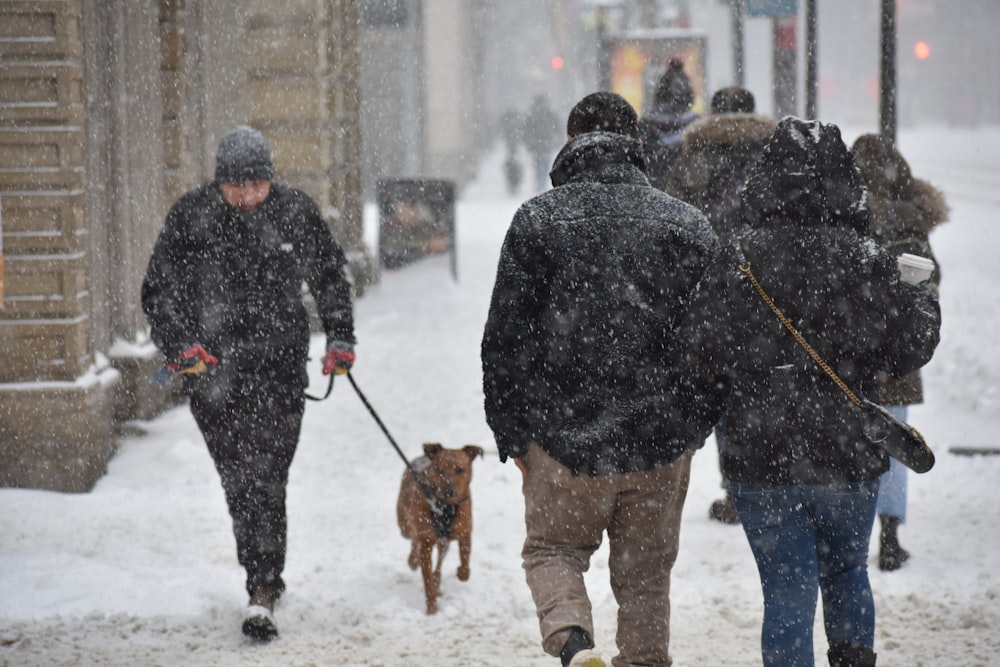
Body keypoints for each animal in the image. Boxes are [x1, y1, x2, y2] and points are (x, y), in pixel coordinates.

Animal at [396, 444, 482, 616]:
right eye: (439, 470)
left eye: (460, 469)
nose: (448, 491)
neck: (445, 507)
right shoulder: (426, 543)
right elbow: (427, 577)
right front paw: (431, 607)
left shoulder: (464, 531)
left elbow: (465, 557)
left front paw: (462, 572)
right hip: (405, 525)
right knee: (413, 538)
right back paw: (413, 560)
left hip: (444, 541)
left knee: (440, 557)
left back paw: (437, 581)